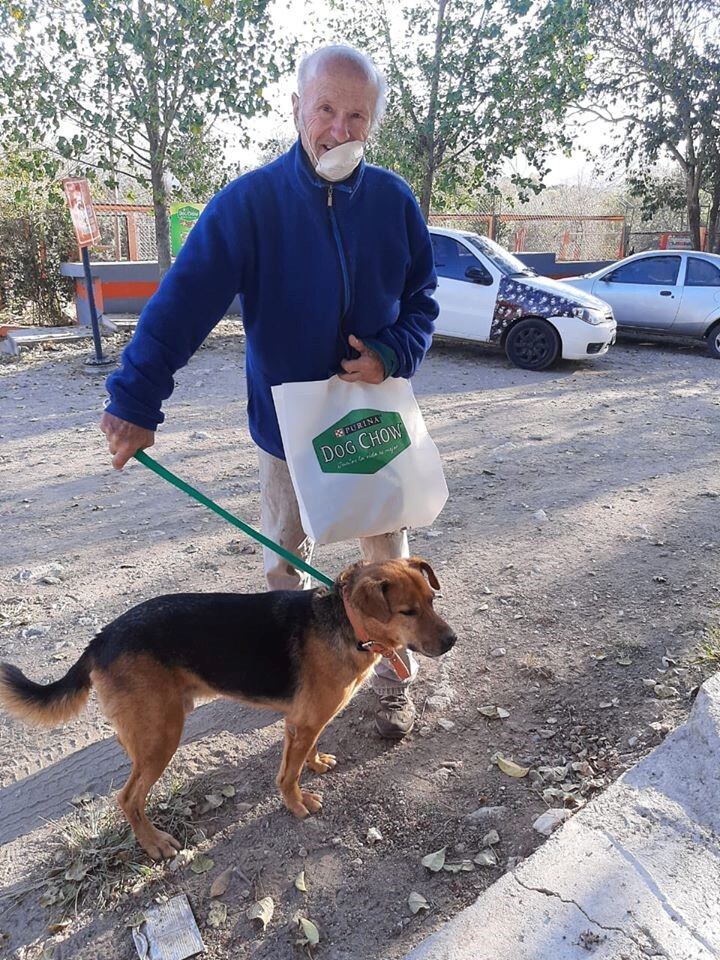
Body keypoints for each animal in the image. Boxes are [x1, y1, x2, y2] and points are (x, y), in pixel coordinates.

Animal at [0, 560, 456, 860]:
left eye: (432, 599)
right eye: (407, 612)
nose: (452, 640)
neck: (345, 621)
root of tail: (101, 638)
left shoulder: (304, 721)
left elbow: (305, 753)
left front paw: (315, 763)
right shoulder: (304, 721)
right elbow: (288, 775)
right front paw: (296, 804)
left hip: (150, 730)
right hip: (162, 736)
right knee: (127, 799)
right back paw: (154, 843)